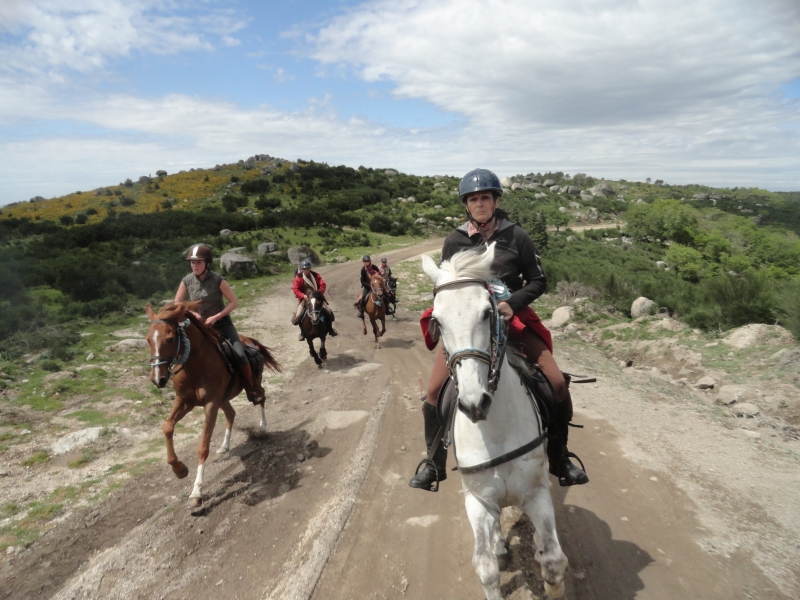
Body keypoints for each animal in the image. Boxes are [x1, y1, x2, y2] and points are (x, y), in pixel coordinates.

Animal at [145, 300, 280, 506]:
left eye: (170, 339)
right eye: (148, 340)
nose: (157, 379)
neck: (195, 366)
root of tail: (249, 340)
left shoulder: (210, 404)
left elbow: (203, 446)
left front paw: (196, 491)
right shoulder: (184, 401)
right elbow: (167, 426)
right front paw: (179, 469)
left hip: (252, 385)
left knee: (261, 397)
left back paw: (263, 426)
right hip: (222, 399)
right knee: (231, 413)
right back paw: (224, 446)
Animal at [422, 244, 564, 600]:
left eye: (488, 312)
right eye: (437, 321)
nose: (475, 403)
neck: (495, 430)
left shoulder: (537, 494)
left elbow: (553, 561)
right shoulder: (478, 502)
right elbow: (485, 567)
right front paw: (496, 552)